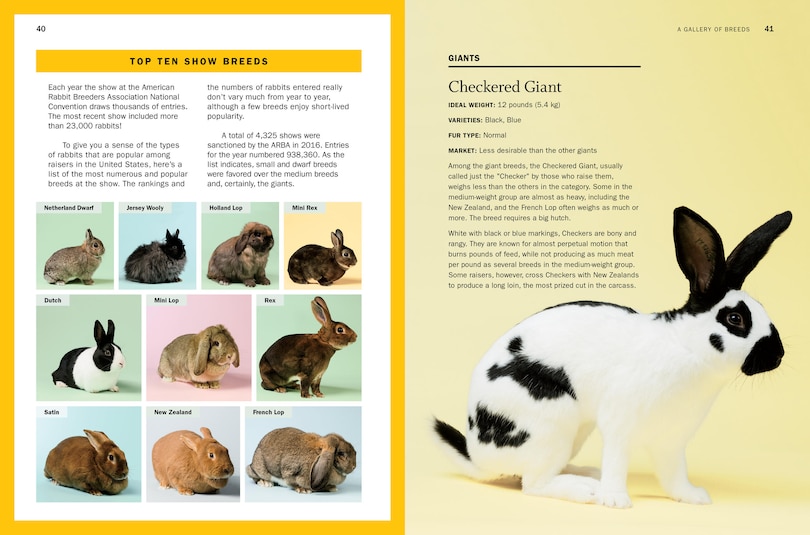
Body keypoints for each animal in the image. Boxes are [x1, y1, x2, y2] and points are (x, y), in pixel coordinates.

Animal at [433, 207, 792, 508]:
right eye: (735, 319)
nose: (777, 355)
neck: (686, 347)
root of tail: (478, 456)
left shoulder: (672, 440)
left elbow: (674, 474)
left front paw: (694, 497)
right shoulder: (620, 423)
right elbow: (618, 460)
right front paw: (616, 500)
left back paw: (587, 473)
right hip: (549, 422)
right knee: (534, 483)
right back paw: (585, 490)